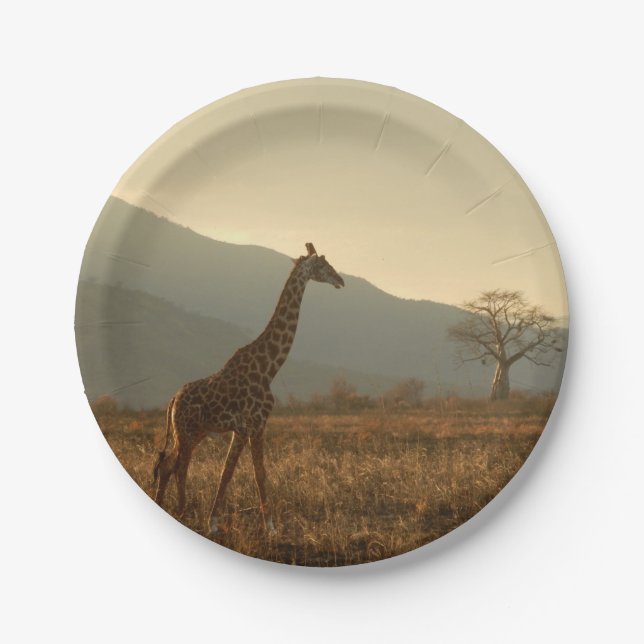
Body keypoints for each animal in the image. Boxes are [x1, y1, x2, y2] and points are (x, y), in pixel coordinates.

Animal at [153, 242, 345, 535]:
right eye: (323, 265)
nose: (340, 280)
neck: (269, 368)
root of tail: (173, 400)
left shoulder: (249, 427)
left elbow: (242, 472)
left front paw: (238, 524)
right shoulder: (251, 424)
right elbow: (243, 473)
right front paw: (256, 526)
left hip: (192, 432)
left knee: (167, 464)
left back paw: (165, 506)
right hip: (186, 431)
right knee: (178, 466)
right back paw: (181, 510)